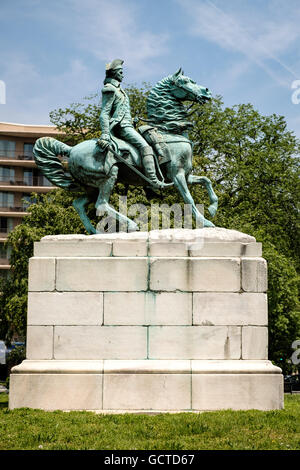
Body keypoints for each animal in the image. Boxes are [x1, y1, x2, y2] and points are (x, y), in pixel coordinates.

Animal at [33, 68, 218, 233]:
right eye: (186, 81)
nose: (207, 91)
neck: (169, 130)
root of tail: (71, 150)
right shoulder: (177, 175)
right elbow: (189, 198)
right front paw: (206, 222)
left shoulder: (186, 175)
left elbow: (206, 180)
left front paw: (213, 208)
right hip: (108, 175)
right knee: (101, 204)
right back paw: (131, 225)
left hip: (91, 186)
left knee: (79, 204)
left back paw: (95, 232)